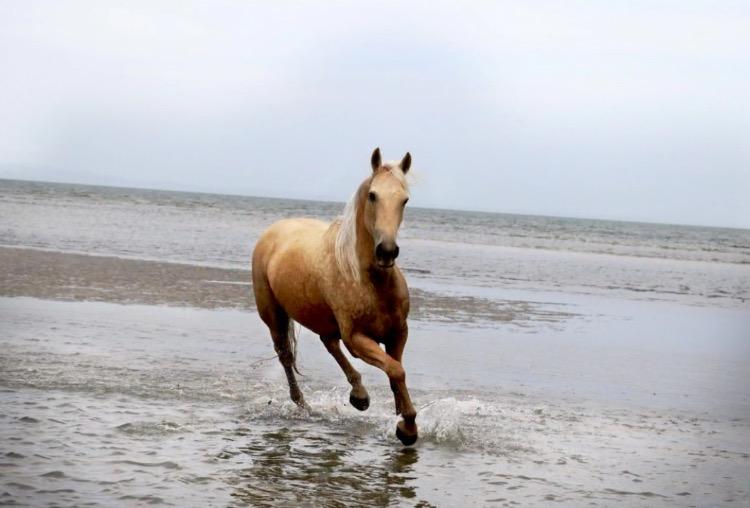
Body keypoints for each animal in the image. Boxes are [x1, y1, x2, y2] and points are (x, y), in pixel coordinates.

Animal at [251, 148, 418, 445]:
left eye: (404, 199)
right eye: (373, 195)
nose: (387, 251)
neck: (370, 282)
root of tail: (274, 230)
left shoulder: (398, 332)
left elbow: (395, 371)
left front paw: (400, 413)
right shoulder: (357, 338)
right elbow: (396, 370)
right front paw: (407, 428)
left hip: (322, 318)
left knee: (328, 343)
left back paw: (359, 396)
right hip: (273, 315)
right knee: (286, 356)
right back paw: (304, 404)